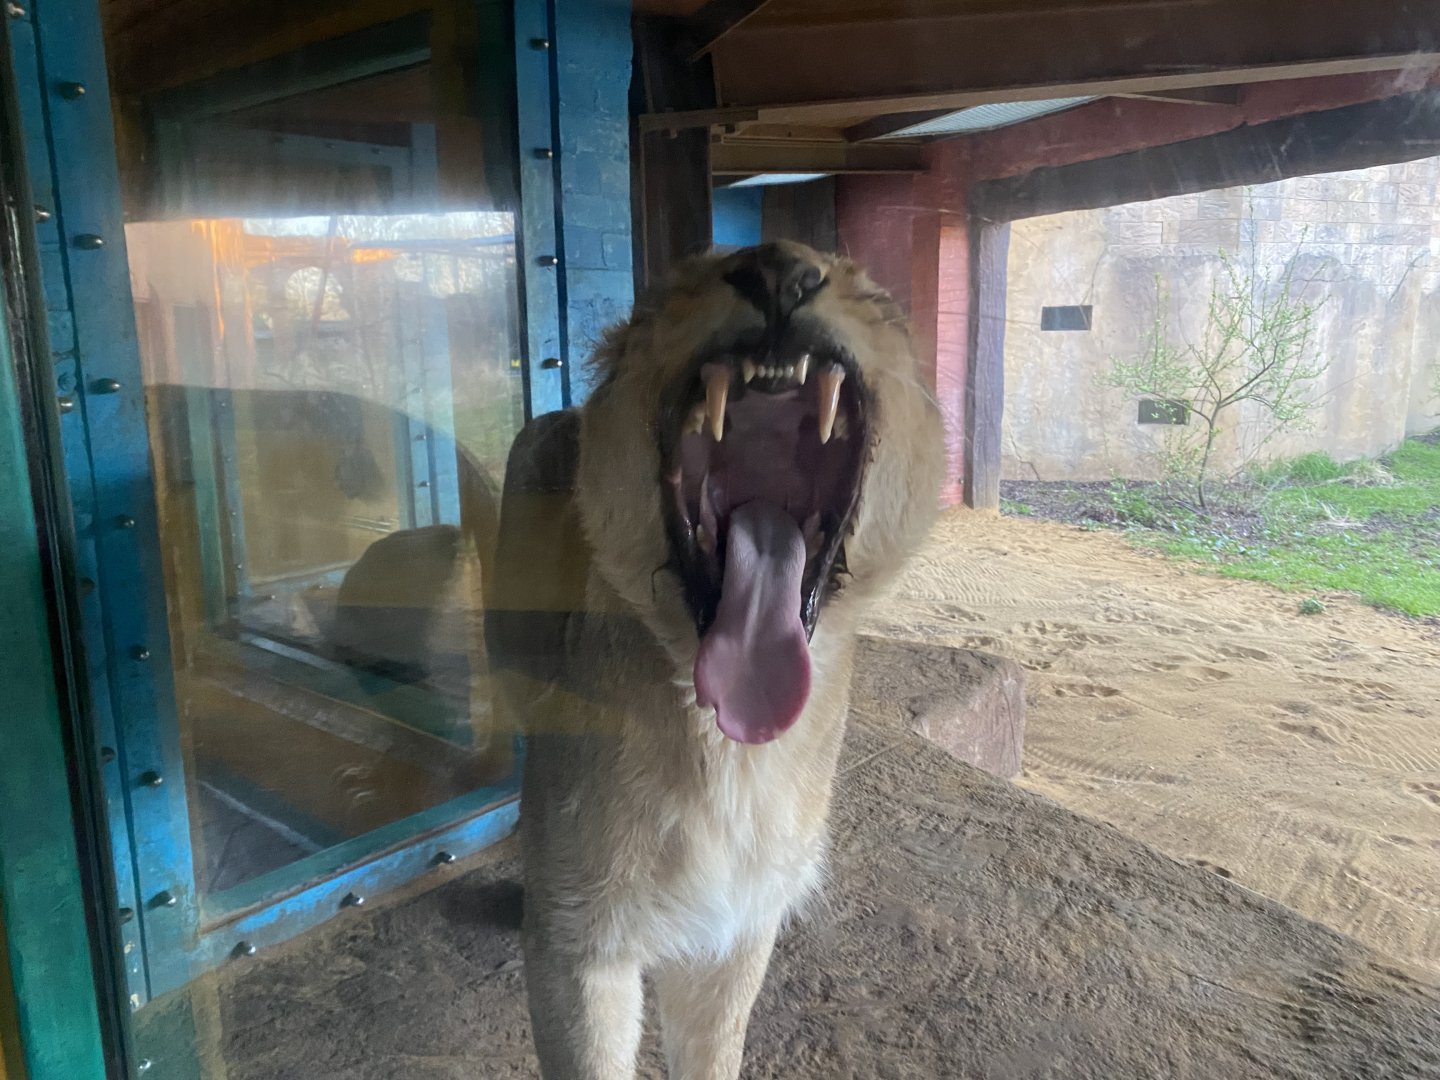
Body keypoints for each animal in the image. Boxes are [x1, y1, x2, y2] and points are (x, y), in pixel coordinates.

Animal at [485, 241, 944, 1079]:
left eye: (869, 291)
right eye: (675, 284)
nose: (781, 270)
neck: (732, 753)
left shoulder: (735, 932)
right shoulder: (581, 951)